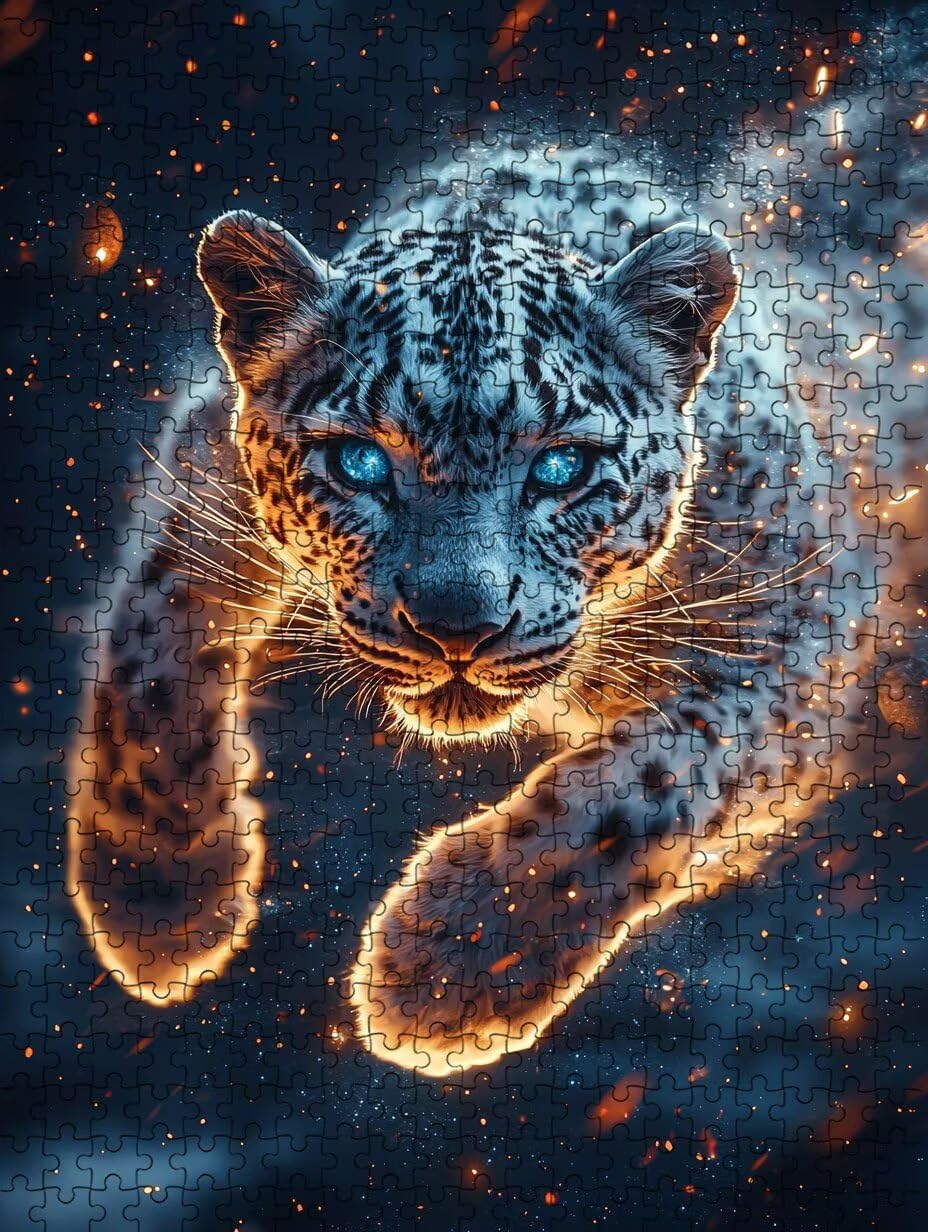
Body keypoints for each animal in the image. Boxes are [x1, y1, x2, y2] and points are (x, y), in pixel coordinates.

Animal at [67, 102, 924, 1077]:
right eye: (358, 462)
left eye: (562, 467)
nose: (456, 629)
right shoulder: (207, 474)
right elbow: (152, 649)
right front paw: (157, 892)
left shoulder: (797, 648)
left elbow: (643, 783)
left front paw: (449, 965)